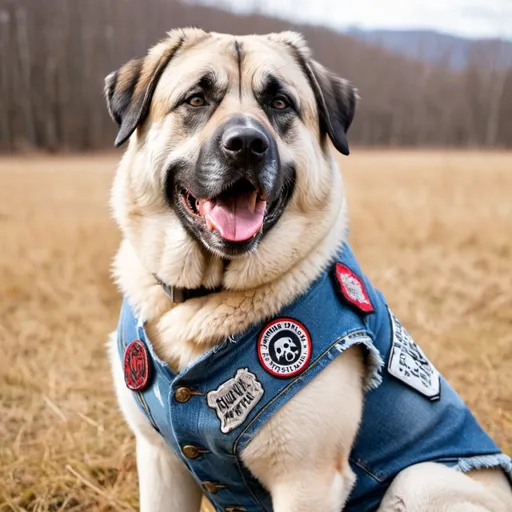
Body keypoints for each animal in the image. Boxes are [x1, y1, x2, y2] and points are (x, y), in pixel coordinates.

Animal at [105, 29, 512, 512]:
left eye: (280, 102)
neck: (207, 294)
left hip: (420, 480)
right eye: (196, 99)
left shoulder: (306, 481)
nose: (247, 145)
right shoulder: (160, 462)